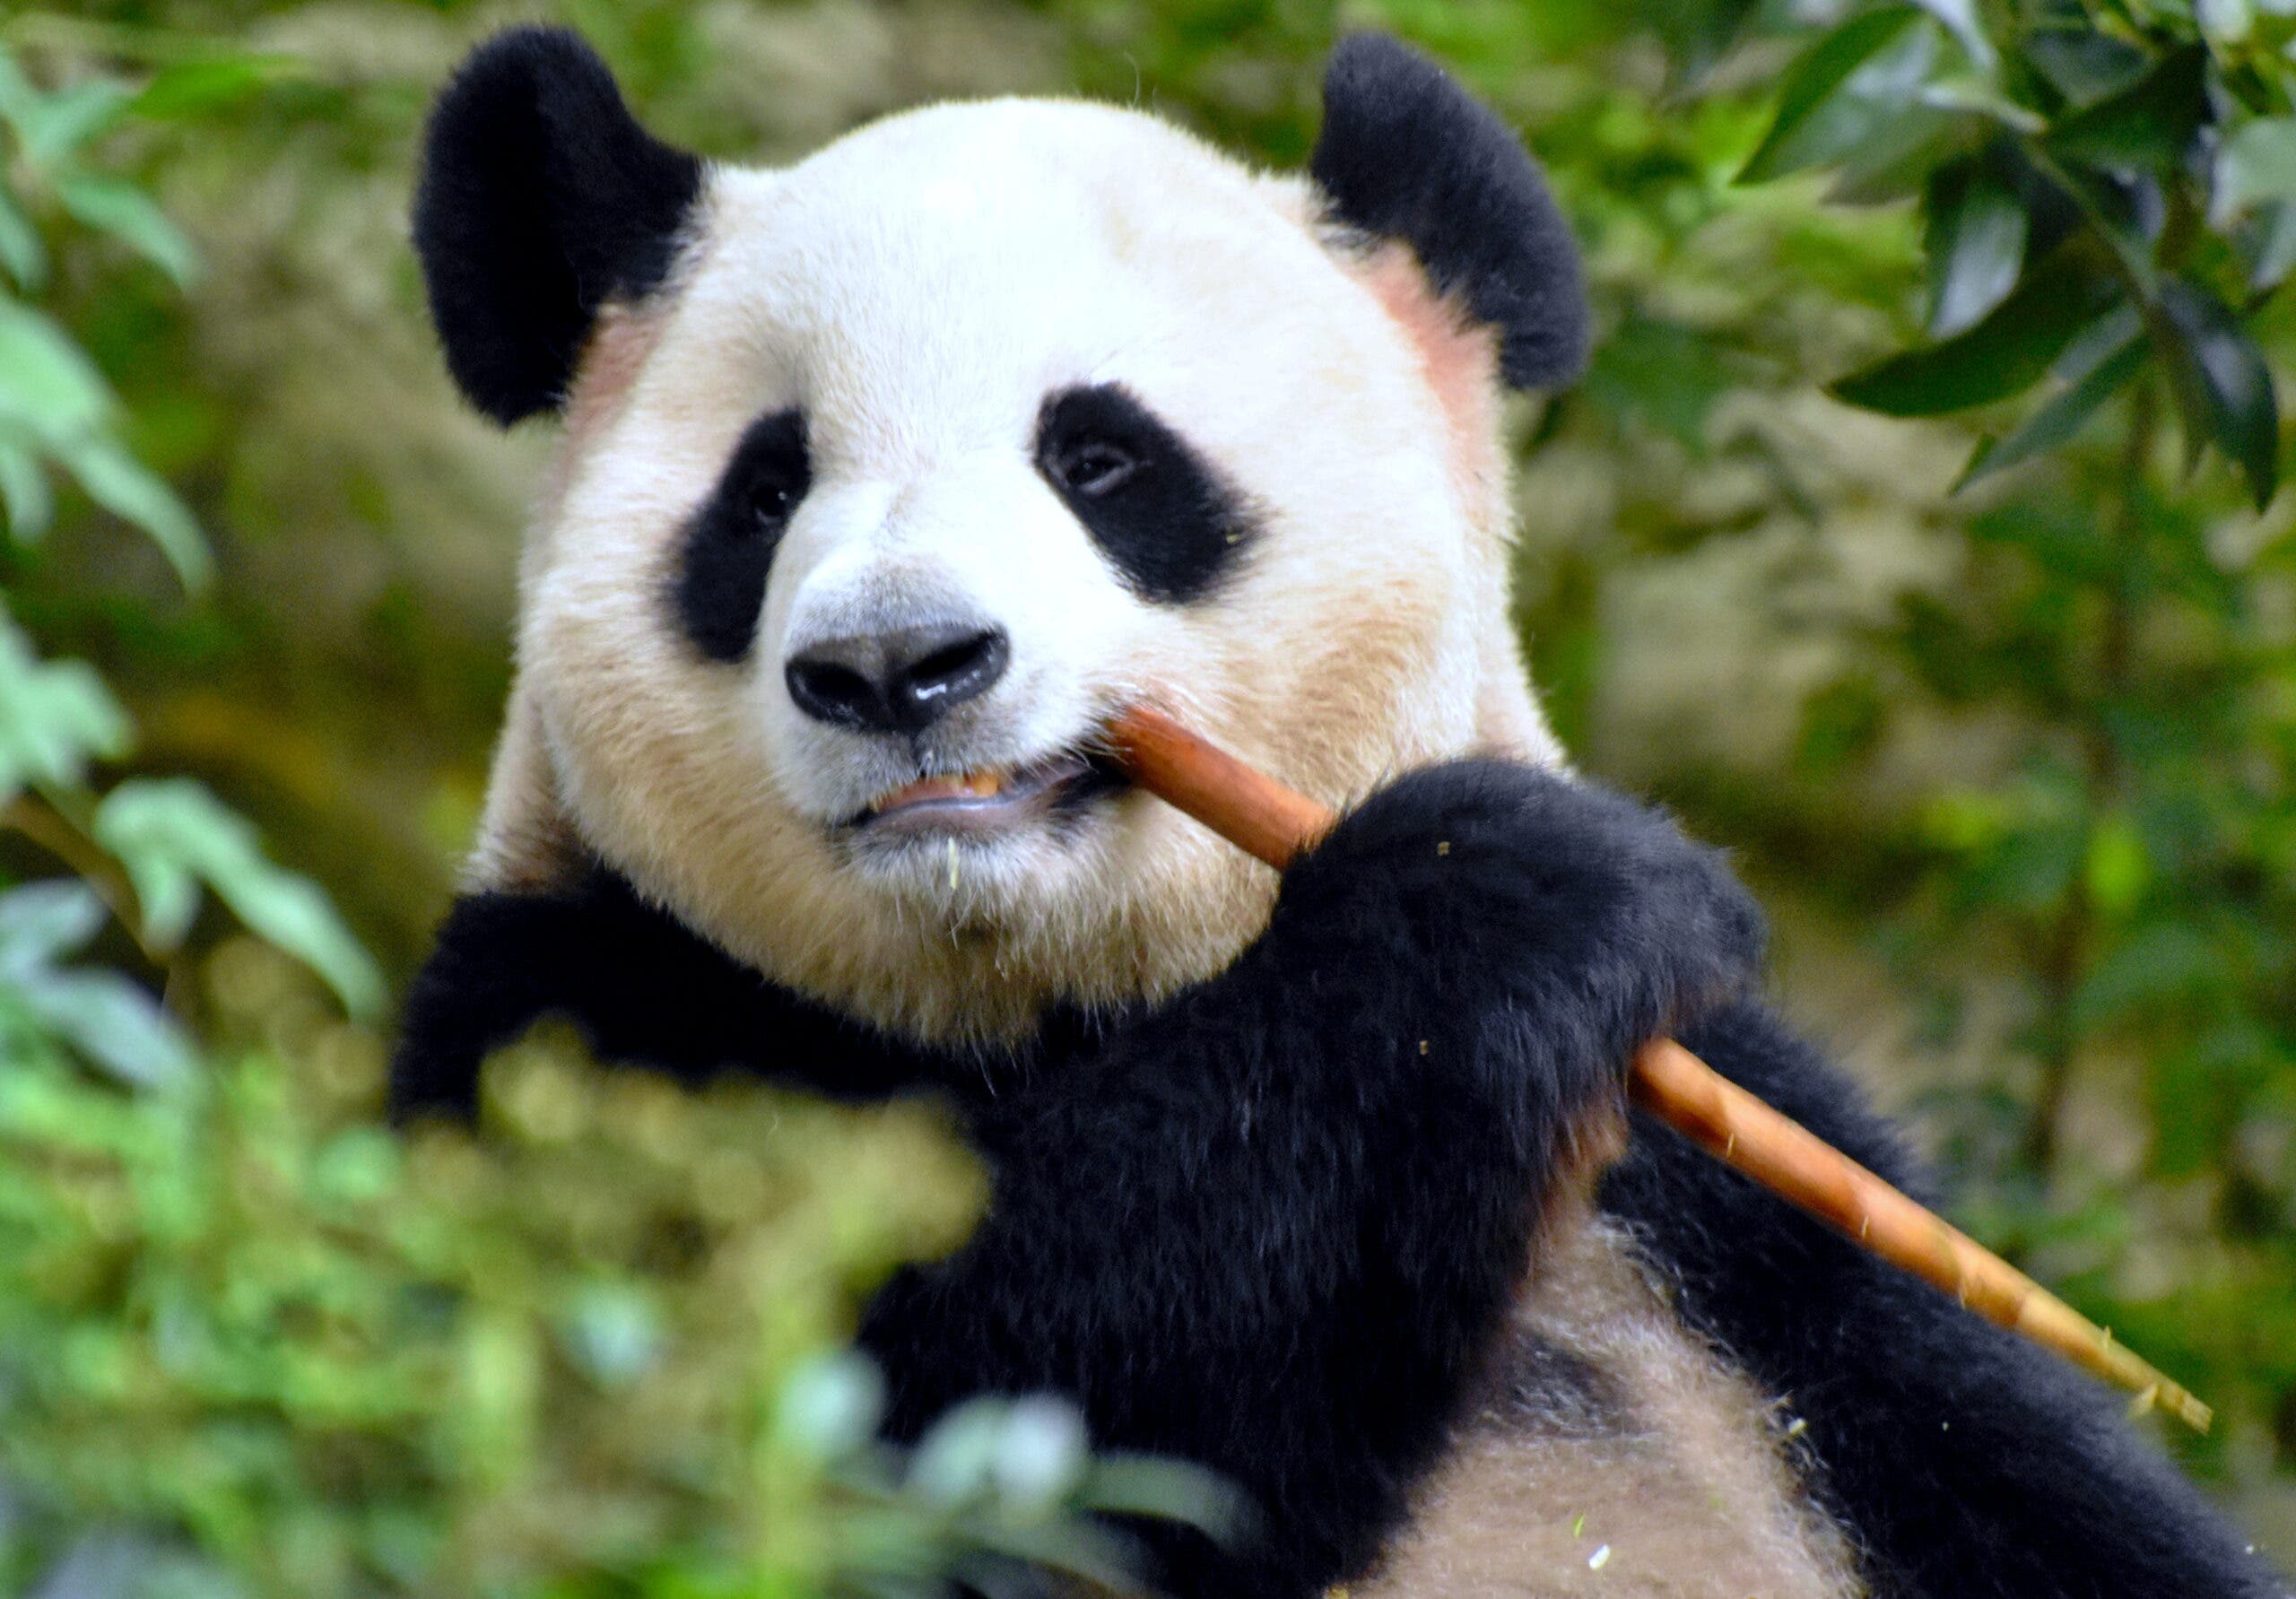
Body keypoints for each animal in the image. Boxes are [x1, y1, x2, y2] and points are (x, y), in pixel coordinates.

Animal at [391, 25, 2288, 1599]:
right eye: (765, 488)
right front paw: (1503, 896)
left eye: (1101, 459)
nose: (895, 665)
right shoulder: (569, 1022)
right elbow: (968, 1416)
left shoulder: (1741, 1211)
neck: (1049, 1007)